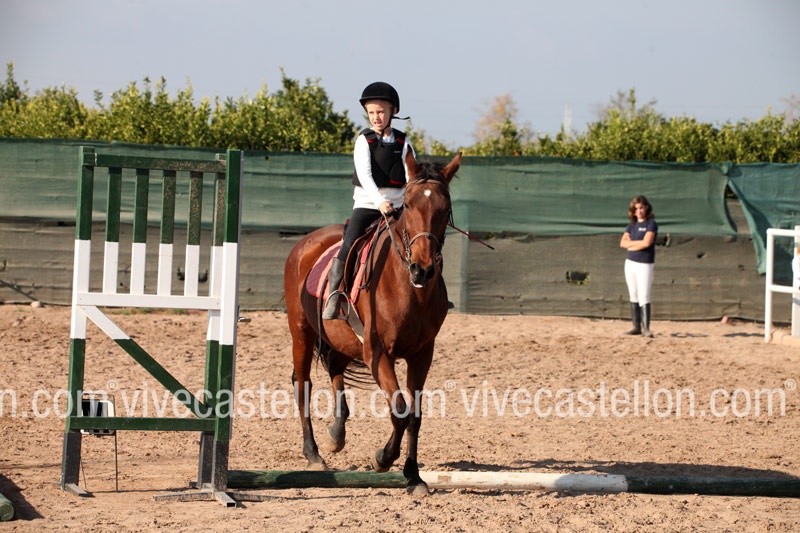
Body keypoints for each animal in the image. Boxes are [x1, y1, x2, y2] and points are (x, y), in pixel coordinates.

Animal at [283, 151, 461, 495]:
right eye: (409, 205)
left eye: (445, 209)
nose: (422, 269)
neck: (409, 288)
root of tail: (305, 243)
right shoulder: (378, 354)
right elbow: (400, 410)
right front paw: (383, 458)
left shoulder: (422, 355)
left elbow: (415, 415)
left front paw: (414, 476)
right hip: (301, 333)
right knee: (303, 384)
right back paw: (313, 454)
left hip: (341, 339)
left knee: (336, 369)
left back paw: (337, 433)